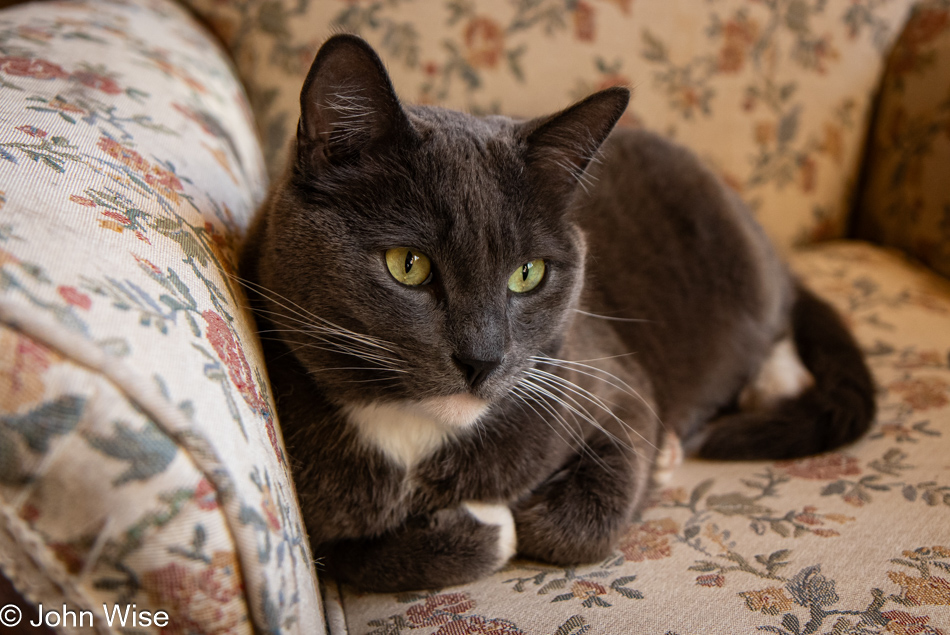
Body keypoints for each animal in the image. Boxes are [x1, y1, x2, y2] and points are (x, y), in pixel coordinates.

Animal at [240, 33, 876, 592]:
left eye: (528, 273)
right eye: (408, 265)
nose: (482, 358)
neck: (414, 436)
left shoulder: (605, 378)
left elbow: (574, 526)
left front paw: (524, 512)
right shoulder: (319, 518)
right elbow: (356, 555)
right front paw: (489, 524)